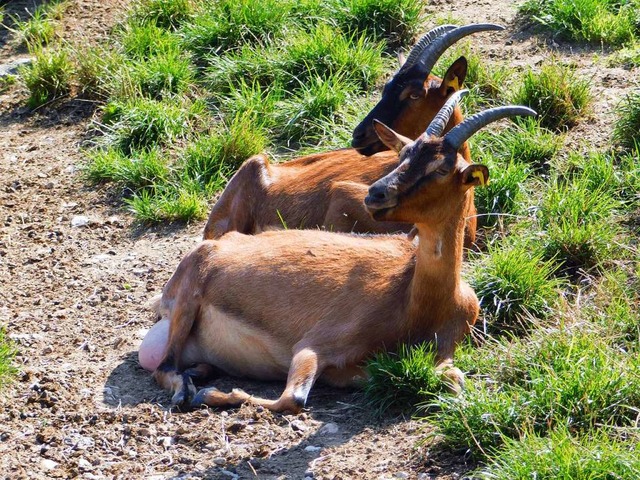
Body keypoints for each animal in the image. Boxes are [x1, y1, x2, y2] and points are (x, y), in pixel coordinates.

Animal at [140, 93, 536, 412]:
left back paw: (199, 372)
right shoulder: (314, 345)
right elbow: (294, 399)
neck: (419, 302)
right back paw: (189, 390)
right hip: (188, 300)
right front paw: (210, 395)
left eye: (442, 168)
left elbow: (454, 378)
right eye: (404, 154)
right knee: (165, 367)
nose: (376, 194)